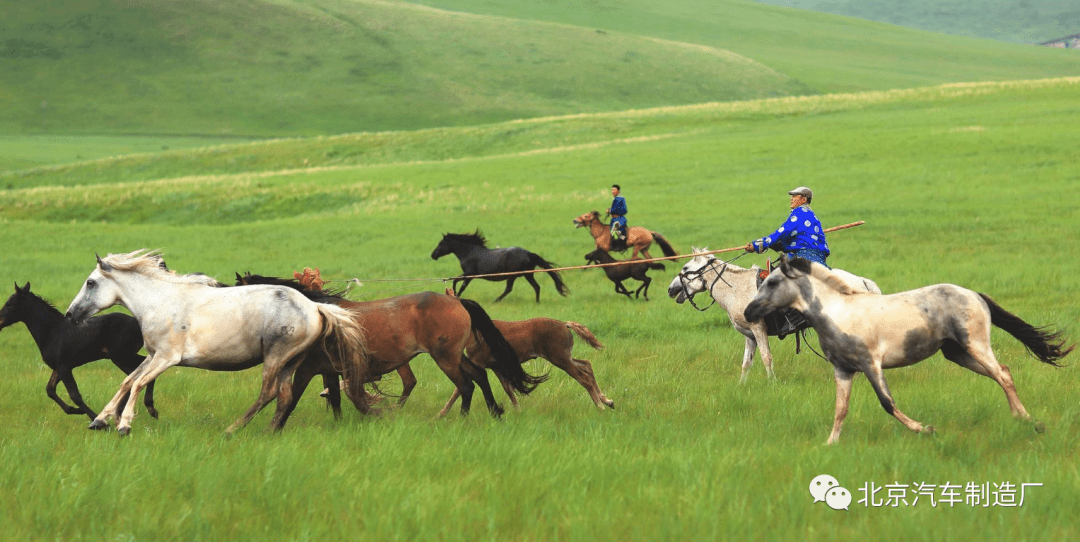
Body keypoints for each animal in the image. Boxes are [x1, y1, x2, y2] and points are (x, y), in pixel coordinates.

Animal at [0, 280, 157, 421]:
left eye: (9, 304)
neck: (52, 331)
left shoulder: (64, 367)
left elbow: (74, 395)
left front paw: (97, 420)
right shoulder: (59, 367)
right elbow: (50, 390)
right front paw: (75, 411)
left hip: (120, 356)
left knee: (136, 374)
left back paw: (141, 408)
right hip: (123, 356)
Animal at [67, 250, 373, 436]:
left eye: (91, 283)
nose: (70, 314)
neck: (160, 303)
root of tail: (314, 307)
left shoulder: (167, 358)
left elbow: (139, 384)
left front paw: (125, 424)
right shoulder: (152, 356)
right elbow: (127, 382)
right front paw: (100, 420)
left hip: (275, 357)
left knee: (268, 393)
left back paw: (233, 430)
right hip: (290, 361)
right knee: (284, 396)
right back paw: (269, 432)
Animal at [429, 229, 570, 302]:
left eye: (441, 243)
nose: (433, 255)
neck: (469, 252)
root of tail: (528, 253)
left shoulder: (470, 274)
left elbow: (459, 283)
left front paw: (456, 295)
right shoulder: (469, 275)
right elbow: (456, 281)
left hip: (512, 275)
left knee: (509, 289)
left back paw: (496, 300)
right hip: (527, 275)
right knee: (537, 287)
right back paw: (537, 302)